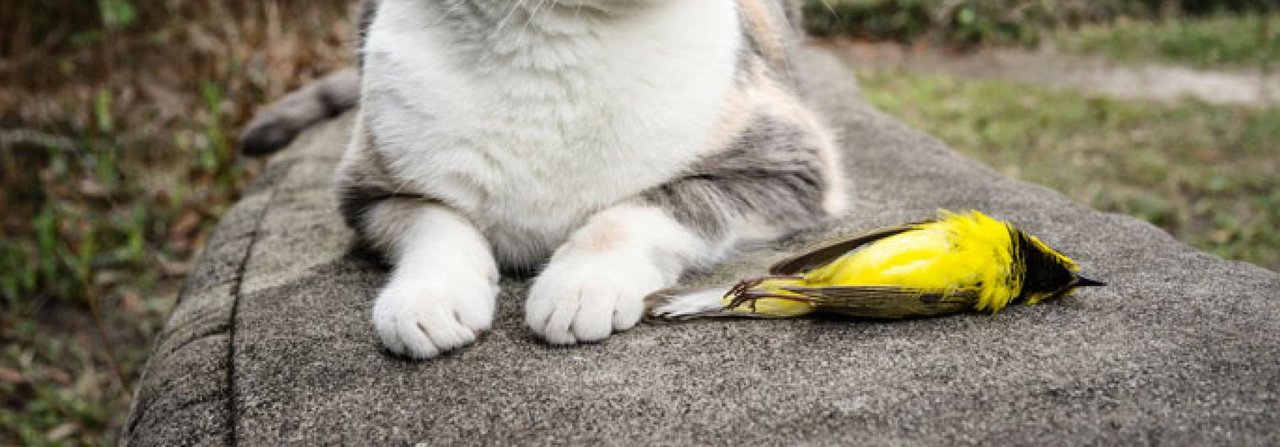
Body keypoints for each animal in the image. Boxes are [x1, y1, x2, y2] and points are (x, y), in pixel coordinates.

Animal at [240, 0, 844, 356]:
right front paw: (430, 298)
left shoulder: (791, 162)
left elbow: (646, 206)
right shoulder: (368, 189)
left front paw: (582, 284)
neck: (556, 35)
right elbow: (436, 221)